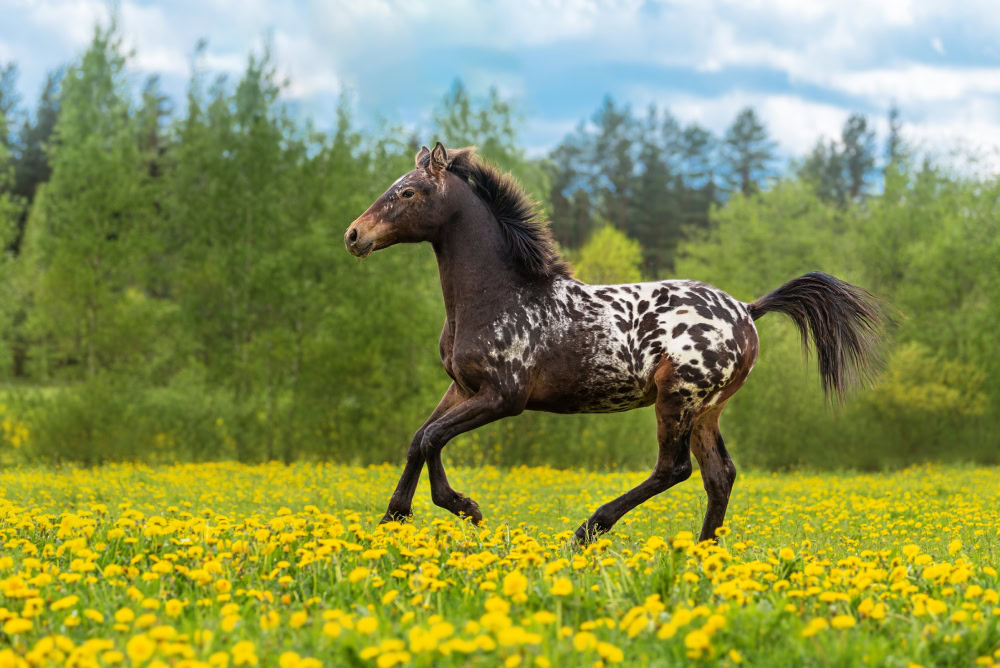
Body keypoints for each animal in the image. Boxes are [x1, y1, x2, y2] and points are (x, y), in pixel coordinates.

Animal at [345, 141, 890, 544]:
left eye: (408, 192)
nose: (353, 235)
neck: (498, 295)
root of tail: (746, 310)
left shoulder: (503, 397)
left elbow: (434, 437)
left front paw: (465, 508)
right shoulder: (462, 387)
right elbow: (420, 437)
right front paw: (394, 518)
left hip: (677, 398)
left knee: (674, 469)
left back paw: (590, 528)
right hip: (707, 409)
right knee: (720, 475)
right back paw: (703, 552)